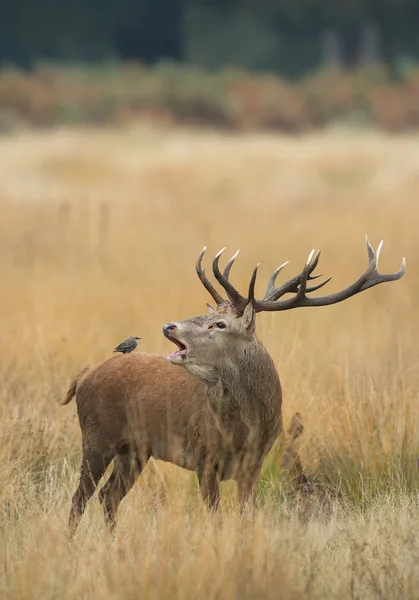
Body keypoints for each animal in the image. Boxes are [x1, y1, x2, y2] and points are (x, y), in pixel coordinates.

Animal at [64, 237, 406, 536]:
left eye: (219, 324)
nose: (168, 326)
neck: (245, 432)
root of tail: (82, 378)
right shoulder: (204, 458)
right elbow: (215, 519)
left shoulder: (253, 466)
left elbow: (246, 518)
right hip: (97, 436)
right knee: (80, 499)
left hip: (135, 450)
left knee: (108, 495)